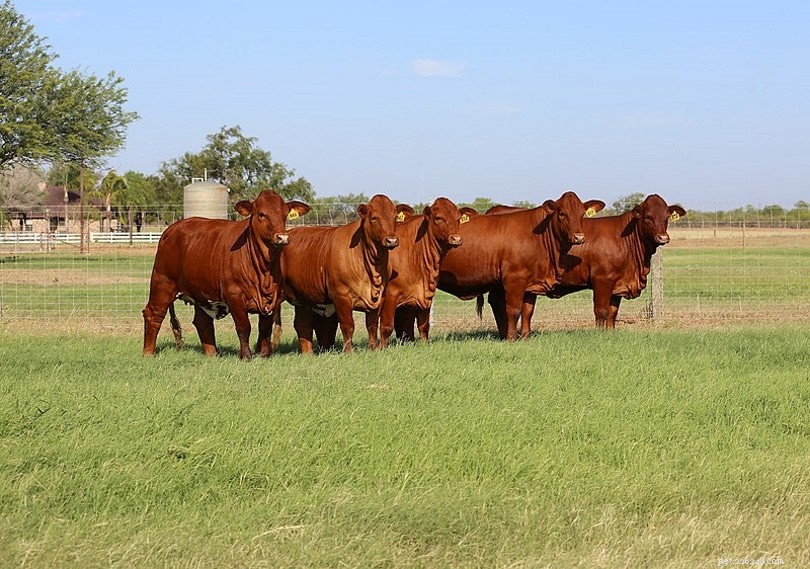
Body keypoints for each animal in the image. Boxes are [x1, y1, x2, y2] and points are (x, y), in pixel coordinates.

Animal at [142, 190, 310, 359]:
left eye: (285, 214)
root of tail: (171, 229)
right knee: (153, 314)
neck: (264, 271)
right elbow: (244, 327)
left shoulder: (273, 299)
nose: (282, 237)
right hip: (162, 283)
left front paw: (264, 355)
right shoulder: (234, 296)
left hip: (199, 291)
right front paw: (246, 356)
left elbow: (264, 329)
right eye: (262, 214)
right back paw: (148, 352)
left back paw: (212, 354)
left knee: (202, 322)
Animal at [277, 194, 400, 354]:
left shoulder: (379, 298)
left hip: (303, 298)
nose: (391, 240)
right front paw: (348, 352)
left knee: (302, 324)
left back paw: (308, 353)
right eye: (374, 218)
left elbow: (372, 326)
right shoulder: (341, 296)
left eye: (395, 217)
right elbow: (348, 326)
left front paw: (373, 349)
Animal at [375, 197, 470, 348]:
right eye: (438, 218)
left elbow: (423, 326)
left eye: (458, 218)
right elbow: (386, 326)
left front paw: (425, 345)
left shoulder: (425, 295)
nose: (456, 239)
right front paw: (382, 348)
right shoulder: (390, 295)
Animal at [424, 191, 605, 341]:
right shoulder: (514, 279)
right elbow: (513, 310)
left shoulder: (532, 282)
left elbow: (527, 311)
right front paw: (512, 338)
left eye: (582, 214)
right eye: (562, 214)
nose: (579, 237)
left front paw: (525, 336)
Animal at [484, 193, 686, 330]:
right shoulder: (602, 279)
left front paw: (610, 333)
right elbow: (601, 311)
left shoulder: (618, 284)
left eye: (666, 217)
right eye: (648, 217)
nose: (663, 237)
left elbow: (613, 313)